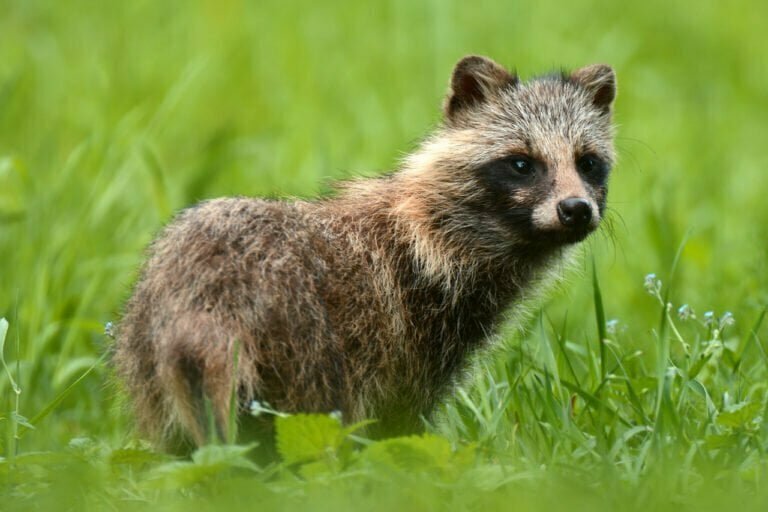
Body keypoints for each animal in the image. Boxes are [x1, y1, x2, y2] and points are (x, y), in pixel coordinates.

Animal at [114, 55, 616, 453]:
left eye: (588, 162)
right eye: (521, 162)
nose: (575, 209)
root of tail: (204, 300)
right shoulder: (409, 330)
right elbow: (400, 423)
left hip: (147, 354)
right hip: (301, 343)